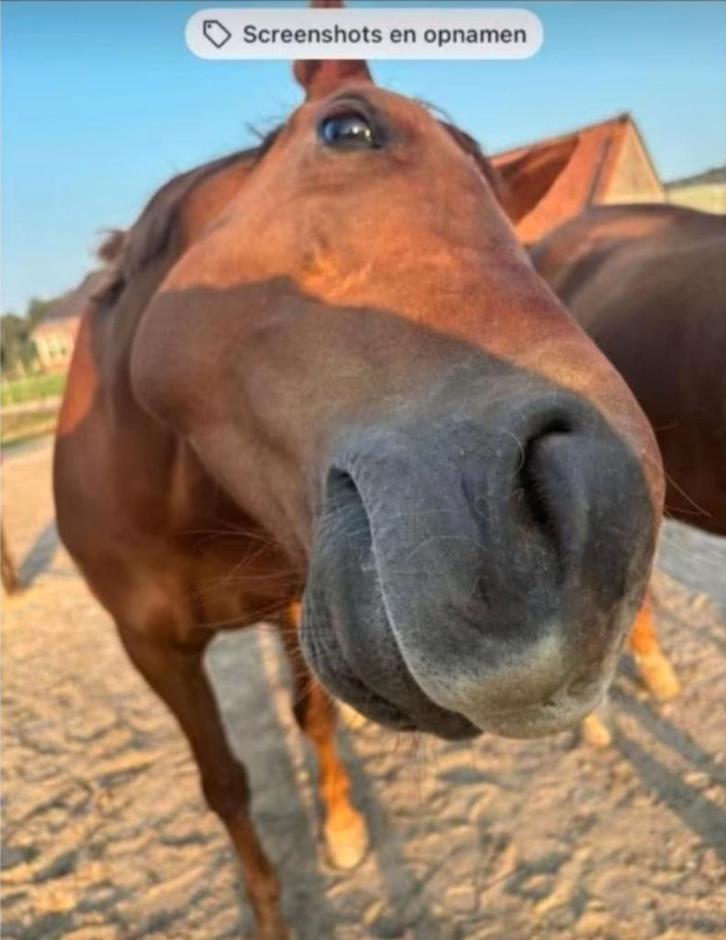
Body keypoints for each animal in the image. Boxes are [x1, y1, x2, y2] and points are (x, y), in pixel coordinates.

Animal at [53, 34, 665, 940]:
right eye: (347, 130)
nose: (597, 530)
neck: (180, 495)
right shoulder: (151, 646)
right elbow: (225, 783)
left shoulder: (292, 600)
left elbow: (314, 720)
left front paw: (340, 829)